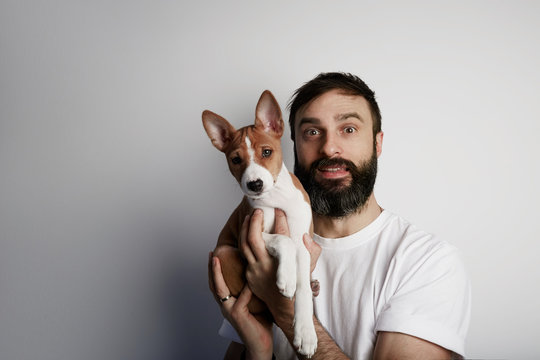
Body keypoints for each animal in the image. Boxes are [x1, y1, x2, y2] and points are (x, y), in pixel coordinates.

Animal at [205, 90, 318, 358]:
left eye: (266, 152)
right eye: (236, 160)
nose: (254, 184)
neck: (276, 196)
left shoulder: (302, 241)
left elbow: (302, 288)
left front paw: (305, 333)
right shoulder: (250, 230)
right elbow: (283, 240)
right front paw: (287, 277)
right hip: (224, 252)